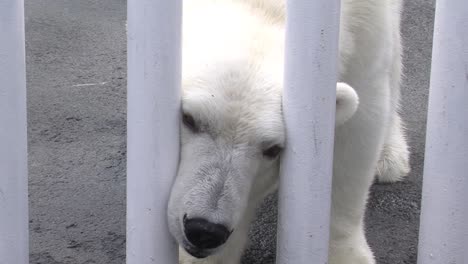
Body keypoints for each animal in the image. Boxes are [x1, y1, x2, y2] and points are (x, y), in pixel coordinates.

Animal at [168, 1, 410, 262]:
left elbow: (357, 131)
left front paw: (346, 254)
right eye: (189, 119)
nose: (205, 230)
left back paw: (390, 156)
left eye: (273, 149)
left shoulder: (367, 21)